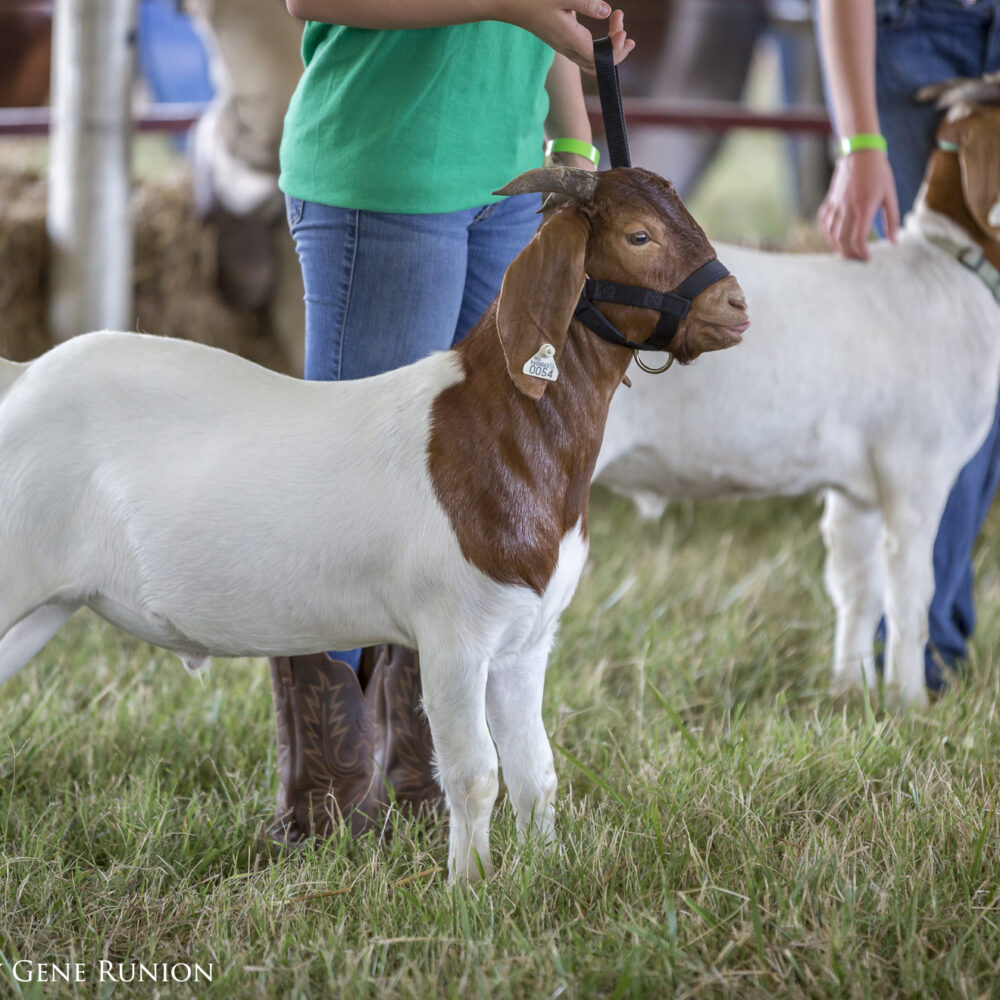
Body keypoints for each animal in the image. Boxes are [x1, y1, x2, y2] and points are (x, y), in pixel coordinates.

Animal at [0, 168, 748, 880]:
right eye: (639, 235)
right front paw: (471, 891)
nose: (738, 306)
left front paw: (547, 875)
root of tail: (24, 375)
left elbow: (536, 773)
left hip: (48, 603)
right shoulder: (454, 636)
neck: (498, 428)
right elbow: (475, 776)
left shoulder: (527, 640)